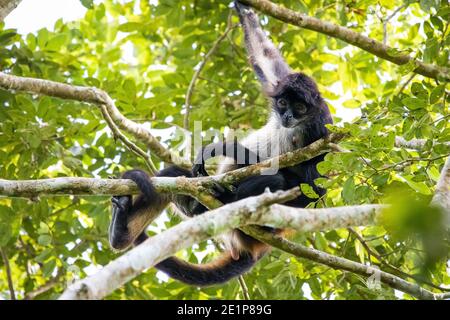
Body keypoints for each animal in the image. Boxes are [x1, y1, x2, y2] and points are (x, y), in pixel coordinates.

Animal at [108, 1, 332, 286]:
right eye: (283, 103)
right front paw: (244, 9)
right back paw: (123, 231)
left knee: (278, 181)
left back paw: (227, 198)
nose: (288, 116)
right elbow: (264, 56)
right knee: (174, 176)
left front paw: (223, 148)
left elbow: (314, 187)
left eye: (300, 108)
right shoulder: (280, 82)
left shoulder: (321, 127)